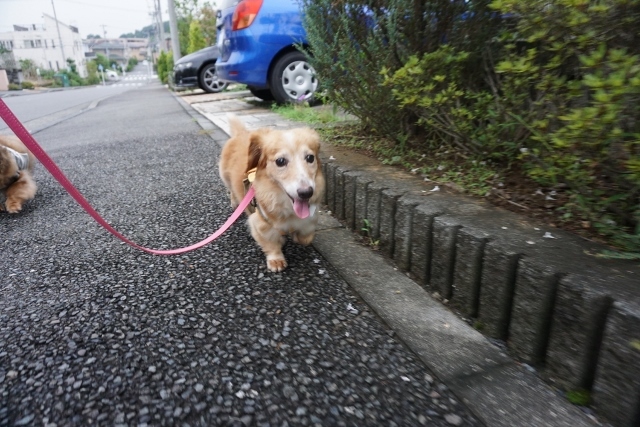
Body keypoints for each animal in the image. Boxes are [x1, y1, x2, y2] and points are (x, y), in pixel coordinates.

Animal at [219, 115, 324, 272]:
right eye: (280, 161)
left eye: (310, 158)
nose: (306, 193)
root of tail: (241, 133)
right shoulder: (260, 223)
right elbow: (271, 243)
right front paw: (276, 259)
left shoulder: (310, 218)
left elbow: (306, 236)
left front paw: (297, 236)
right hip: (225, 178)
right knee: (231, 190)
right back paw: (235, 202)